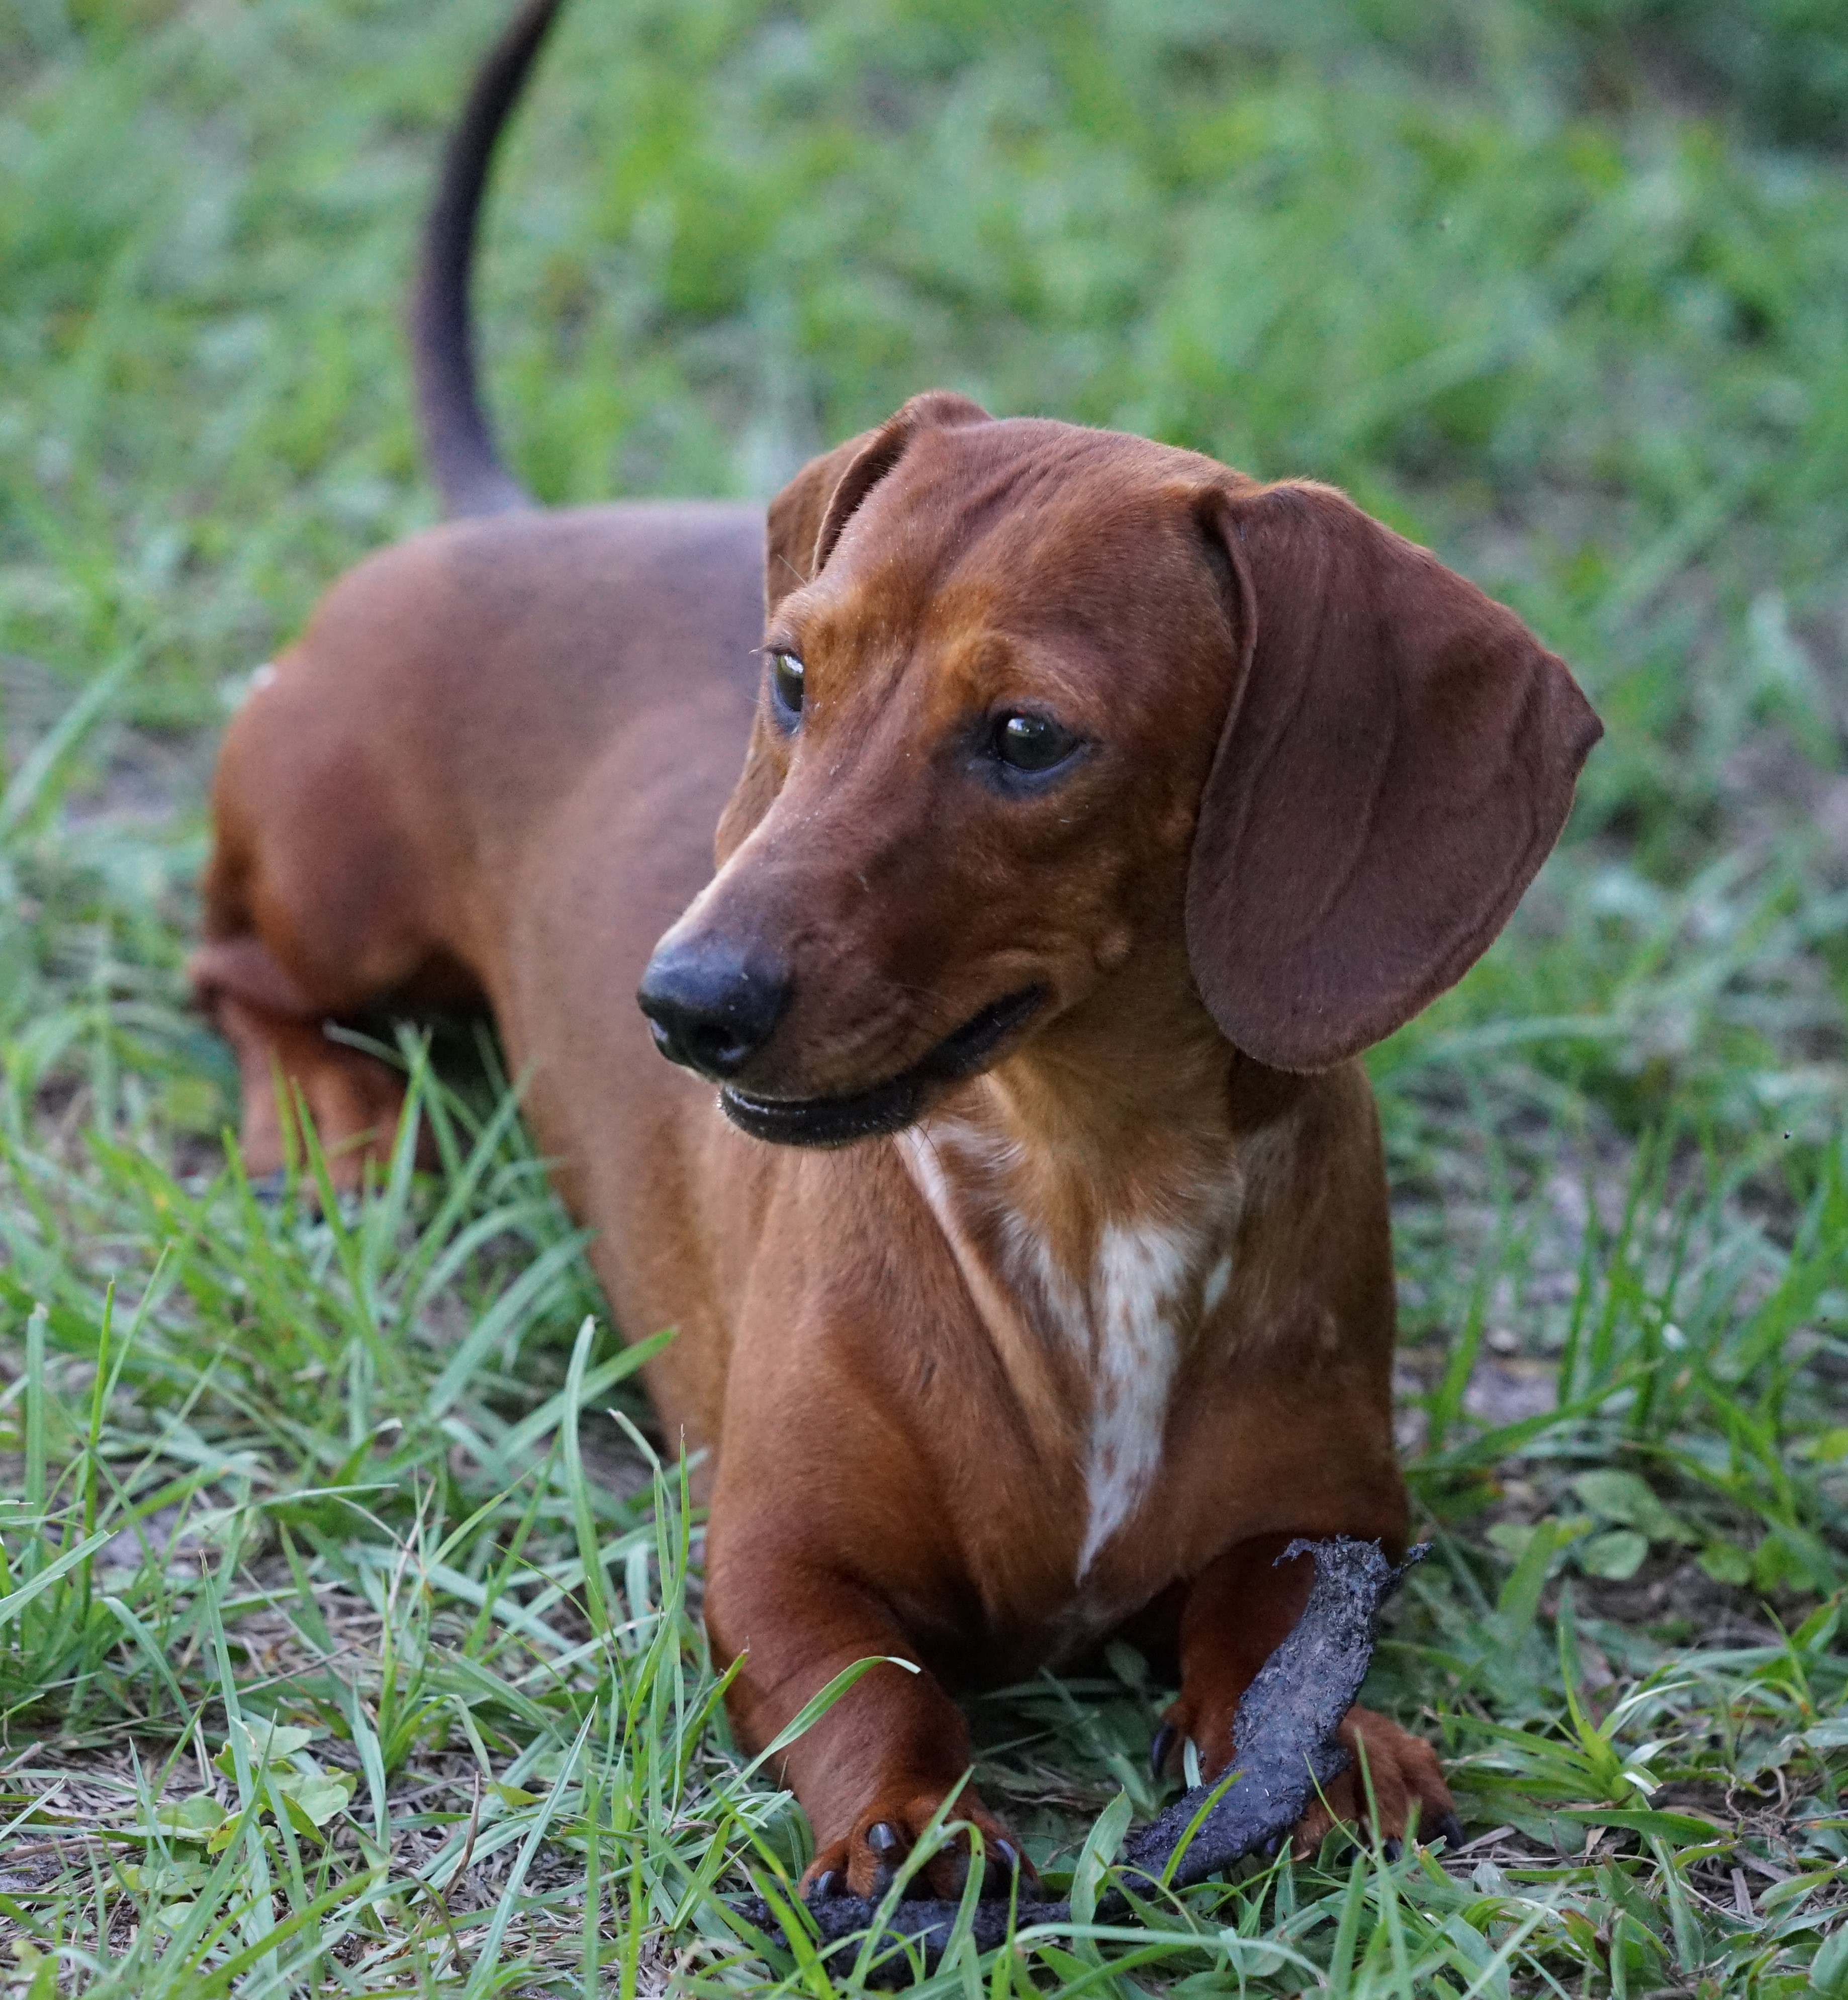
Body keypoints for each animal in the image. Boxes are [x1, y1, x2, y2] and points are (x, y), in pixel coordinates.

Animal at [195, 0, 1592, 1896]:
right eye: (792, 673)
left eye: (1026, 738)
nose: (678, 1007)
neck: (1090, 1192)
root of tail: (499, 519)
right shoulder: (779, 1560)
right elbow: (874, 1696)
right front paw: (917, 1842)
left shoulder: (1329, 1523)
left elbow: (1267, 1641)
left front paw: (1327, 1752)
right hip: (342, 899)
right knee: (233, 971)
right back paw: (328, 1123)